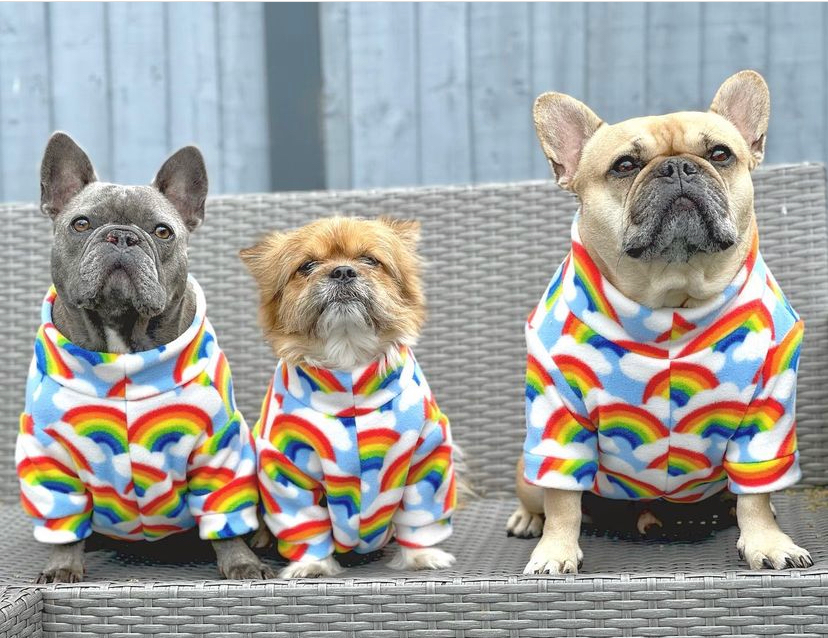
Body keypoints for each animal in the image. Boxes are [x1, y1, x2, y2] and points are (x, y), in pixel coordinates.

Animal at [16, 132, 274, 582]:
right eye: (81, 224)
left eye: (162, 231)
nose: (122, 237)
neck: (121, 339)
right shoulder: (51, 461)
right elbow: (64, 527)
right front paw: (63, 566)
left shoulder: (219, 453)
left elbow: (224, 516)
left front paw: (241, 562)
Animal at [240, 216, 458, 578]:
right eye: (307, 266)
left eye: (370, 260)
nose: (342, 271)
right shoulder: (286, 471)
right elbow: (306, 526)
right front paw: (313, 564)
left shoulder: (427, 459)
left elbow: (419, 518)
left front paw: (421, 556)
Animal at [508, 70, 813, 573]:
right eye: (625, 165)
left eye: (720, 154)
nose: (678, 168)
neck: (672, 299)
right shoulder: (558, 416)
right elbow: (563, 501)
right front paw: (555, 551)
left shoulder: (766, 413)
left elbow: (757, 494)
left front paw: (768, 542)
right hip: (528, 468)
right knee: (542, 494)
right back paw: (527, 520)